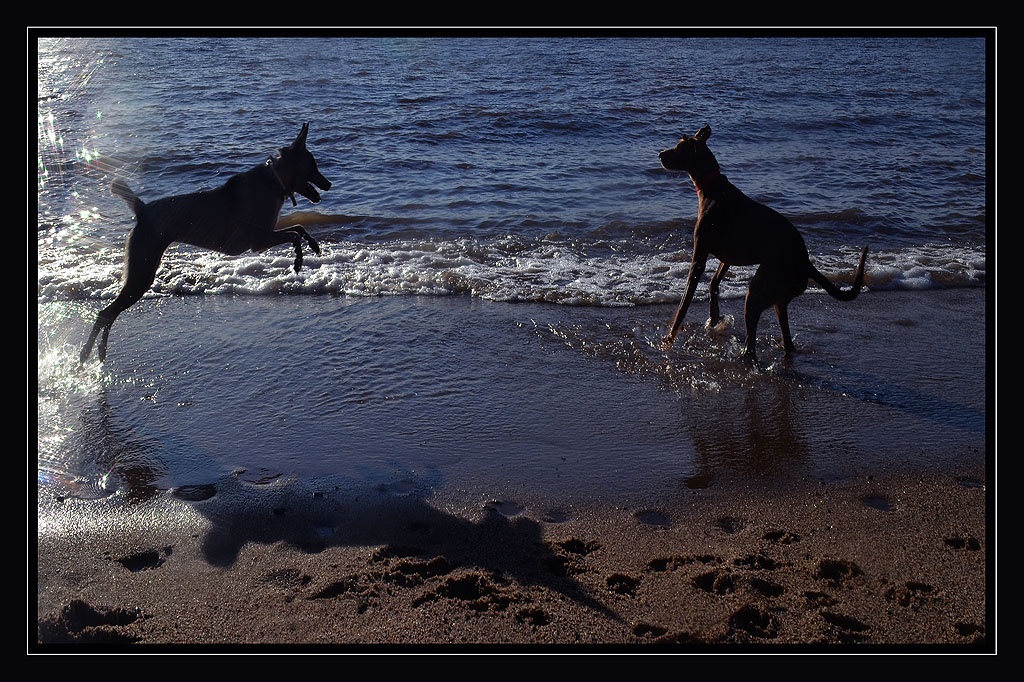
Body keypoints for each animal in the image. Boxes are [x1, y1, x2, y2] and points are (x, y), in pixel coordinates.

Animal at [83, 121, 333, 360]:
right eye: (313, 166)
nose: (329, 184)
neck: (275, 181)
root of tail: (142, 210)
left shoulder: (267, 234)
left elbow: (299, 227)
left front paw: (314, 245)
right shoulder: (259, 240)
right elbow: (294, 234)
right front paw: (298, 261)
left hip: (141, 271)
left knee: (110, 314)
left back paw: (100, 353)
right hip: (142, 271)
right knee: (106, 313)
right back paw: (86, 355)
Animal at [659, 125, 868, 360]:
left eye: (679, 147)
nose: (660, 155)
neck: (712, 186)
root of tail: (805, 262)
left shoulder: (699, 257)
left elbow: (684, 303)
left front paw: (670, 337)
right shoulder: (728, 257)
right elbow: (714, 282)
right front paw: (714, 316)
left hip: (758, 291)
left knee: (751, 344)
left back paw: (742, 356)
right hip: (779, 297)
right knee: (785, 337)